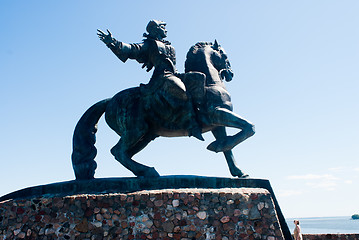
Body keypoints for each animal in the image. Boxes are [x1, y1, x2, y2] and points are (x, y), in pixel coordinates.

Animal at [71, 40, 256, 179]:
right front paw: (217, 146)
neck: (210, 84)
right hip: (136, 130)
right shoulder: (217, 114)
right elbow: (249, 127)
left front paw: (237, 170)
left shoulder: (217, 124)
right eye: (224, 54)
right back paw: (149, 171)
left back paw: (143, 172)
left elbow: (229, 148)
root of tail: (110, 100)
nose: (231, 73)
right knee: (118, 151)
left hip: (145, 136)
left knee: (124, 154)